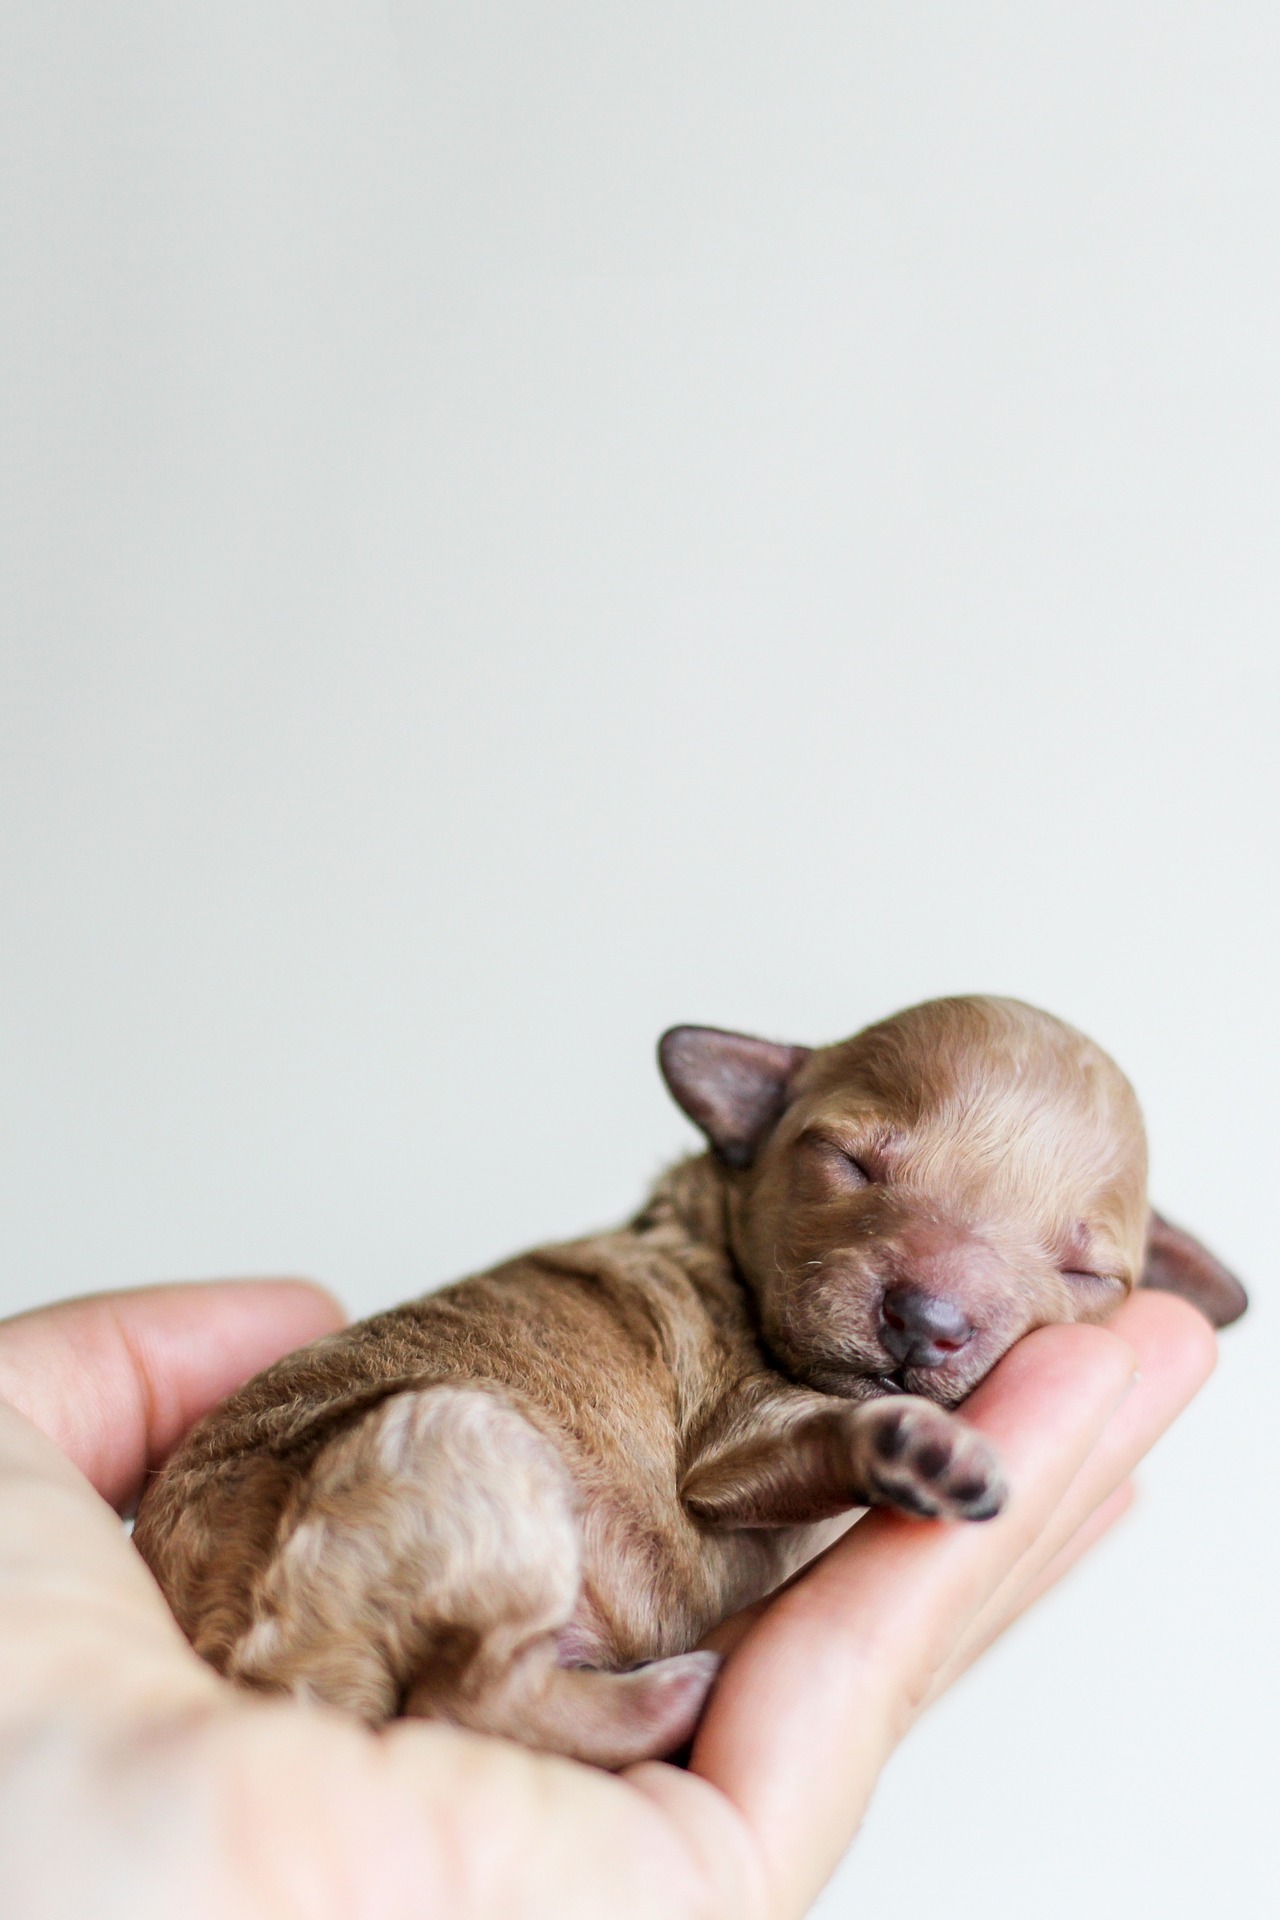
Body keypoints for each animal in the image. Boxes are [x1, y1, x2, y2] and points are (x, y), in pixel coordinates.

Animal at [133, 996, 1246, 1769]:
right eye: (849, 1162)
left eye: (1087, 1273)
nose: (926, 1319)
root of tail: (242, 1654)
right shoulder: (733, 1433)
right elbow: (810, 1431)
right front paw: (910, 1445)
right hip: (464, 1443)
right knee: (465, 1695)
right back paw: (671, 1695)